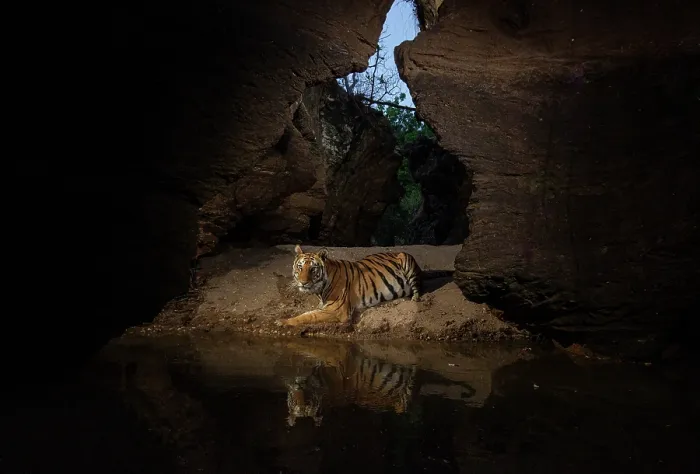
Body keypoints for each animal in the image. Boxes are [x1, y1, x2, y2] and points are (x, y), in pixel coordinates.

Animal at [276, 244, 423, 327]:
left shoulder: (337, 310)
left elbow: (309, 316)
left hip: (406, 260)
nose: (303, 282)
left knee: (417, 287)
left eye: (313, 269)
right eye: (300, 267)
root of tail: (394, 251)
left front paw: (283, 322)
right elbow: (310, 312)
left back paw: (413, 298)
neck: (320, 290)